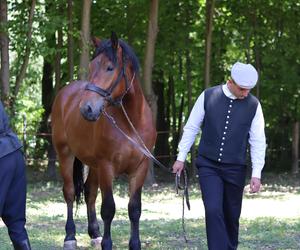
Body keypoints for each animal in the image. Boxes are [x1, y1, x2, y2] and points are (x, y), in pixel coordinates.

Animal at [51, 32, 156, 249]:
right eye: (91, 67)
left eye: (110, 67)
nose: (86, 109)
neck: (131, 123)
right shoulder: (107, 166)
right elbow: (108, 208)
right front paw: (107, 243)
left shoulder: (140, 168)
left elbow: (134, 209)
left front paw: (134, 244)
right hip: (65, 154)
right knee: (70, 192)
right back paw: (70, 236)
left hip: (94, 165)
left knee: (90, 193)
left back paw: (95, 234)